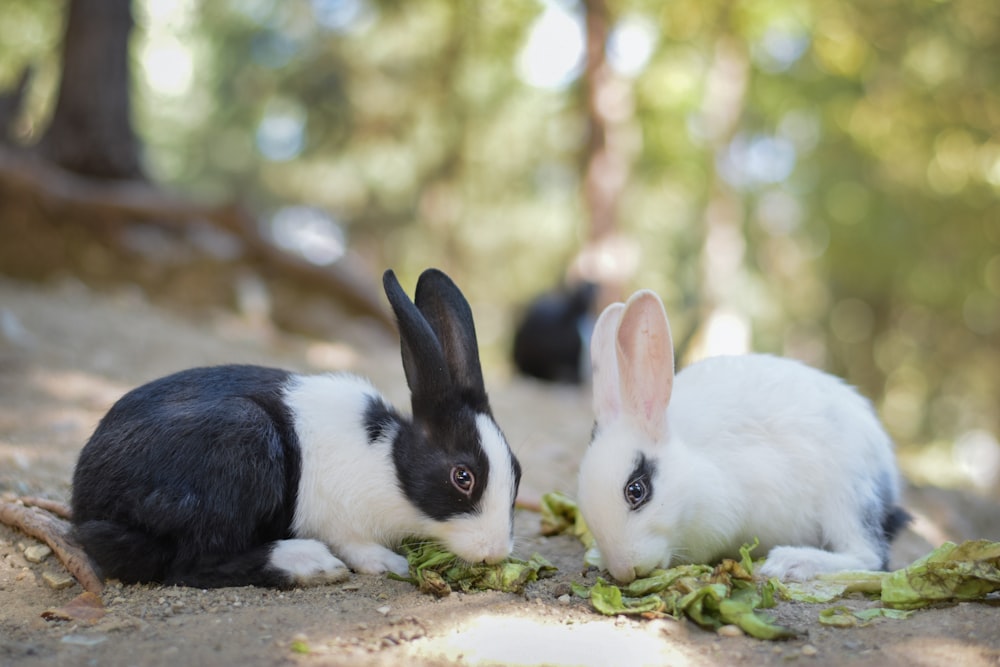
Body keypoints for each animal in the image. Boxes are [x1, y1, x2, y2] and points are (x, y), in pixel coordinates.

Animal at [70, 268, 524, 588]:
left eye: (518, 472)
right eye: (463, 476)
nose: (495, 553)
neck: (389, 465)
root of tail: (85, 504)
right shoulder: (341, 518)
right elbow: (355, 544)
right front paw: (389, 562)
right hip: (241, 440)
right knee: (192, 562)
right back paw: (308, 564)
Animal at [576, 290, 912, 580]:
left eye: (636, 491)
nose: (623, 571)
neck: (693, 466)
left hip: (848, 496)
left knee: (869, 557)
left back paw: (790, 562)